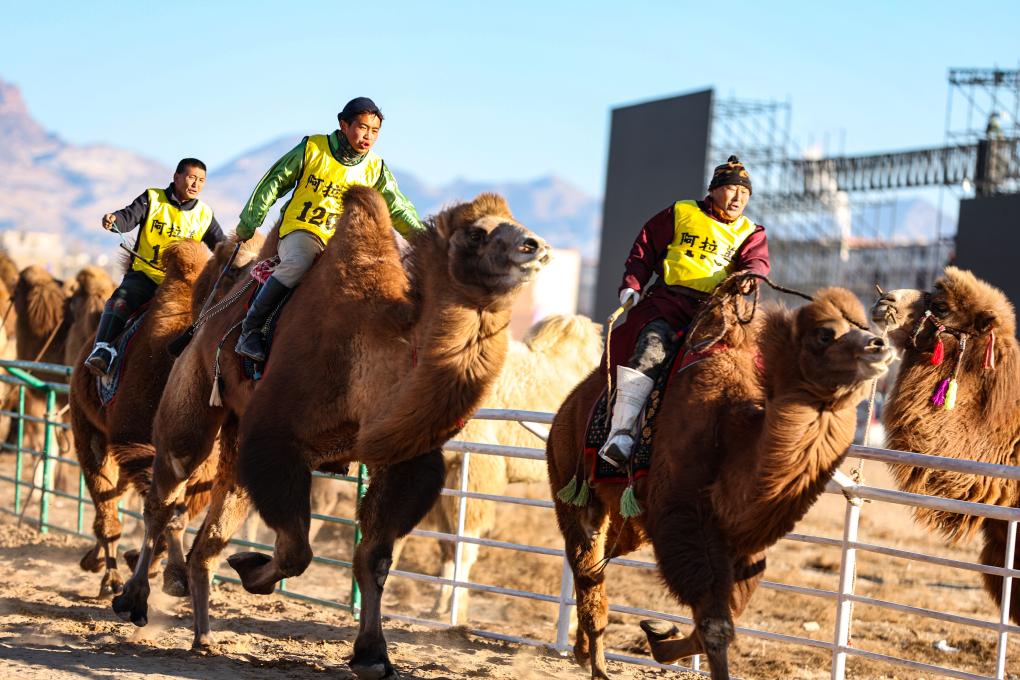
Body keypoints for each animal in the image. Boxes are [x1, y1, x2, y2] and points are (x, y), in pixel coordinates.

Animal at [70, 237, 262, 597]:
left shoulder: (203, 468)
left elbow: (177, 512)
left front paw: (160, 568)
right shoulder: (136, 445)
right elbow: (166, 509)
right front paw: (168, 574)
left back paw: (101, 562)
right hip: (88, 429)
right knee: (106, 506)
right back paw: (109, 577)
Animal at [112, 186, 549, 672]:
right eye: (477, 233)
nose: (534, 247)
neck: (369, 359)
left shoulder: (400, 461)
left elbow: (374, 558)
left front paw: (372, 654)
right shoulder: (277, 440)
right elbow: (296, 550)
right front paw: (250, 568)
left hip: (235, 435)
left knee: (210, 528)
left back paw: (203, 635)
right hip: (193, 393)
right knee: (166, 489)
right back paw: (136, 598)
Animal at [546, 281, 894, 680]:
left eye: (864, 324)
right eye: (825, 333)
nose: (879, 345)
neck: (733, 436)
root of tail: (567, 406)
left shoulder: (741, 546)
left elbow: (719, 621)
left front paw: (659, 634)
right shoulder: (686, 523)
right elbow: (716, 626)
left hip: (625, 519)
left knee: (595, 567)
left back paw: (581, 651)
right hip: (570, 483)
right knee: (588, 570)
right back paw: (599, 665)